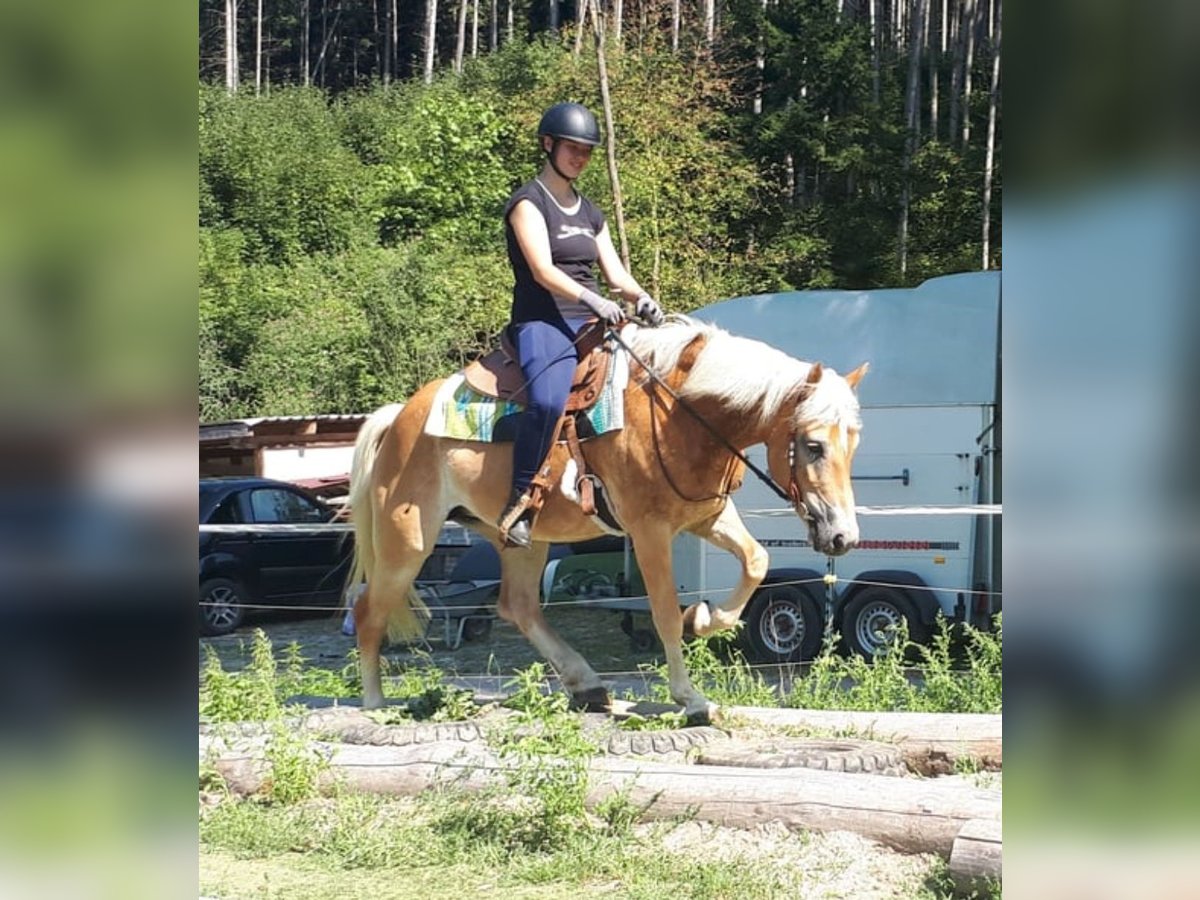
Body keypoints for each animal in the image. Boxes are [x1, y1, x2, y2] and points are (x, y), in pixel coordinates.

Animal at [343, 319, 868, 724]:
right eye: (813, 445)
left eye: (853, 444)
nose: (843, 536)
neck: (679, 413)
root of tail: (400, 415)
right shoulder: (650, 531)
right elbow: (663, 614)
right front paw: (692, 698)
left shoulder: (708, 517)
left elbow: (756, 561)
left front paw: (705, 617)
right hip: (408, 539)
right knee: (369, 611)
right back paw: (374, 703)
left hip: (521, 536)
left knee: (519, 606)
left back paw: (587, 685)